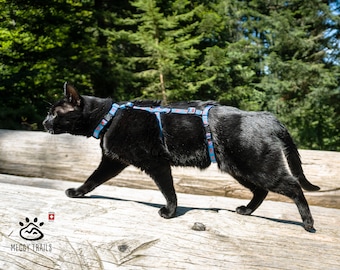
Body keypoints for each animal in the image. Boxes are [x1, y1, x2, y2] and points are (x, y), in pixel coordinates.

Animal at [41, 83, 318, 232]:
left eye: (54, 113)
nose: (44, 123)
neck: (109, 117)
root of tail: (266, 117)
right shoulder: (113, 161)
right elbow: (93, 179)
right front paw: (78, 193)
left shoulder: (156, 162)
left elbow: (168, 190)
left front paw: (170, 211)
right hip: (239, 169)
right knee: (262, 191)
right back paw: (247, 210)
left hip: (256, 166)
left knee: (294, 186)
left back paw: (308, 223)